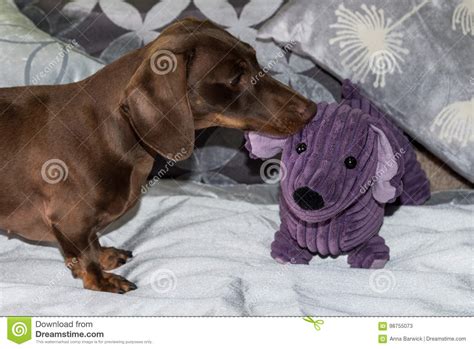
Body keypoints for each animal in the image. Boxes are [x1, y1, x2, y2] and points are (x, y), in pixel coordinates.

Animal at [0, 18, 318, 290]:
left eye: (254, 58)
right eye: (235, 78)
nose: (312, 109)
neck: (111, 129)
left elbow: (93, 244)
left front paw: (105, 256)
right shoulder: (70, 219)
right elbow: (86, 257)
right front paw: (101, 280)